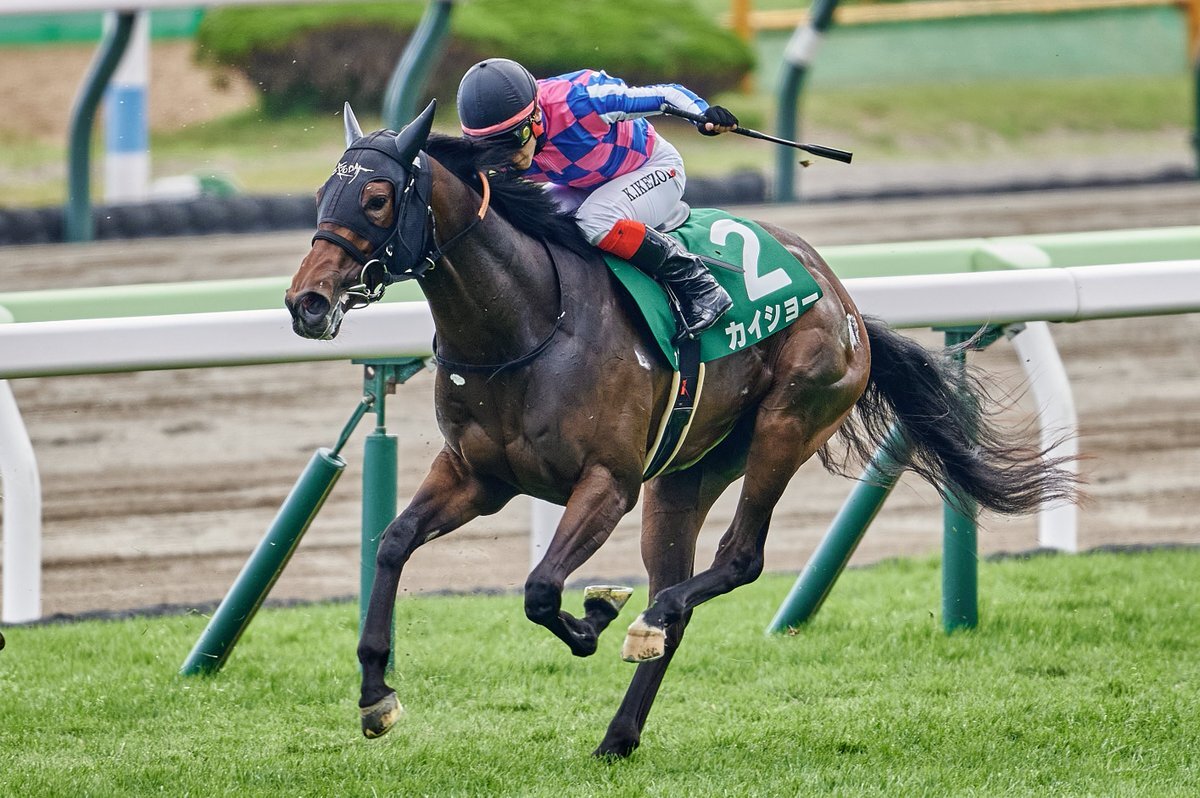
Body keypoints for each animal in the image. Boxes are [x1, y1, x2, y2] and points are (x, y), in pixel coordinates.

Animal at [285, 101, 1076, 758]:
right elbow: (392, 544)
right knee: (681, 586)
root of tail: (846, 303)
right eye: (324, 194)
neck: (528, 321)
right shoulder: (475, 475)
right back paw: (619, 733)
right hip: (686, 473)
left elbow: (541, 589)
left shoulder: (608, 483)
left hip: (787, 422)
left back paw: (643, 623)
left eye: (379, 197)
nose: (306, 302)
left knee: (736, 560)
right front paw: (376, 696)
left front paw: (593, 614)